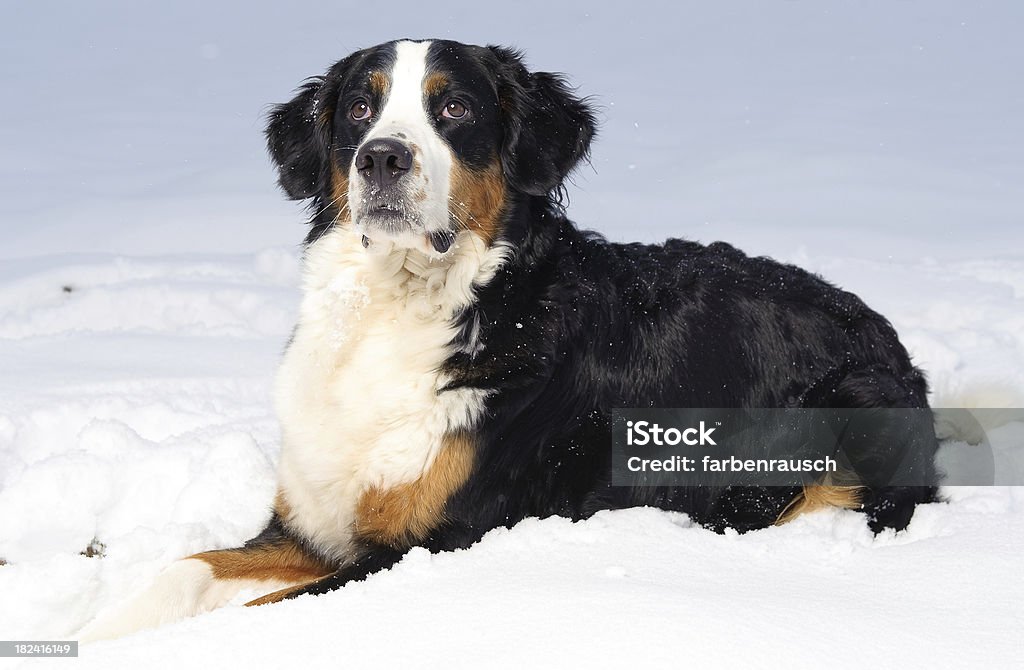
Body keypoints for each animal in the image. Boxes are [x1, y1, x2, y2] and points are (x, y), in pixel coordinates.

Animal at [79, 39, 937, 643]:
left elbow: (255, 614)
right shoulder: (308, 524)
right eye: (357, 109)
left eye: (455, 108)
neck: (400, 309)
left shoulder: (425, 542)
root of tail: (885, 333)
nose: (381, 157)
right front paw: (91, 629)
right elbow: (187, 568)